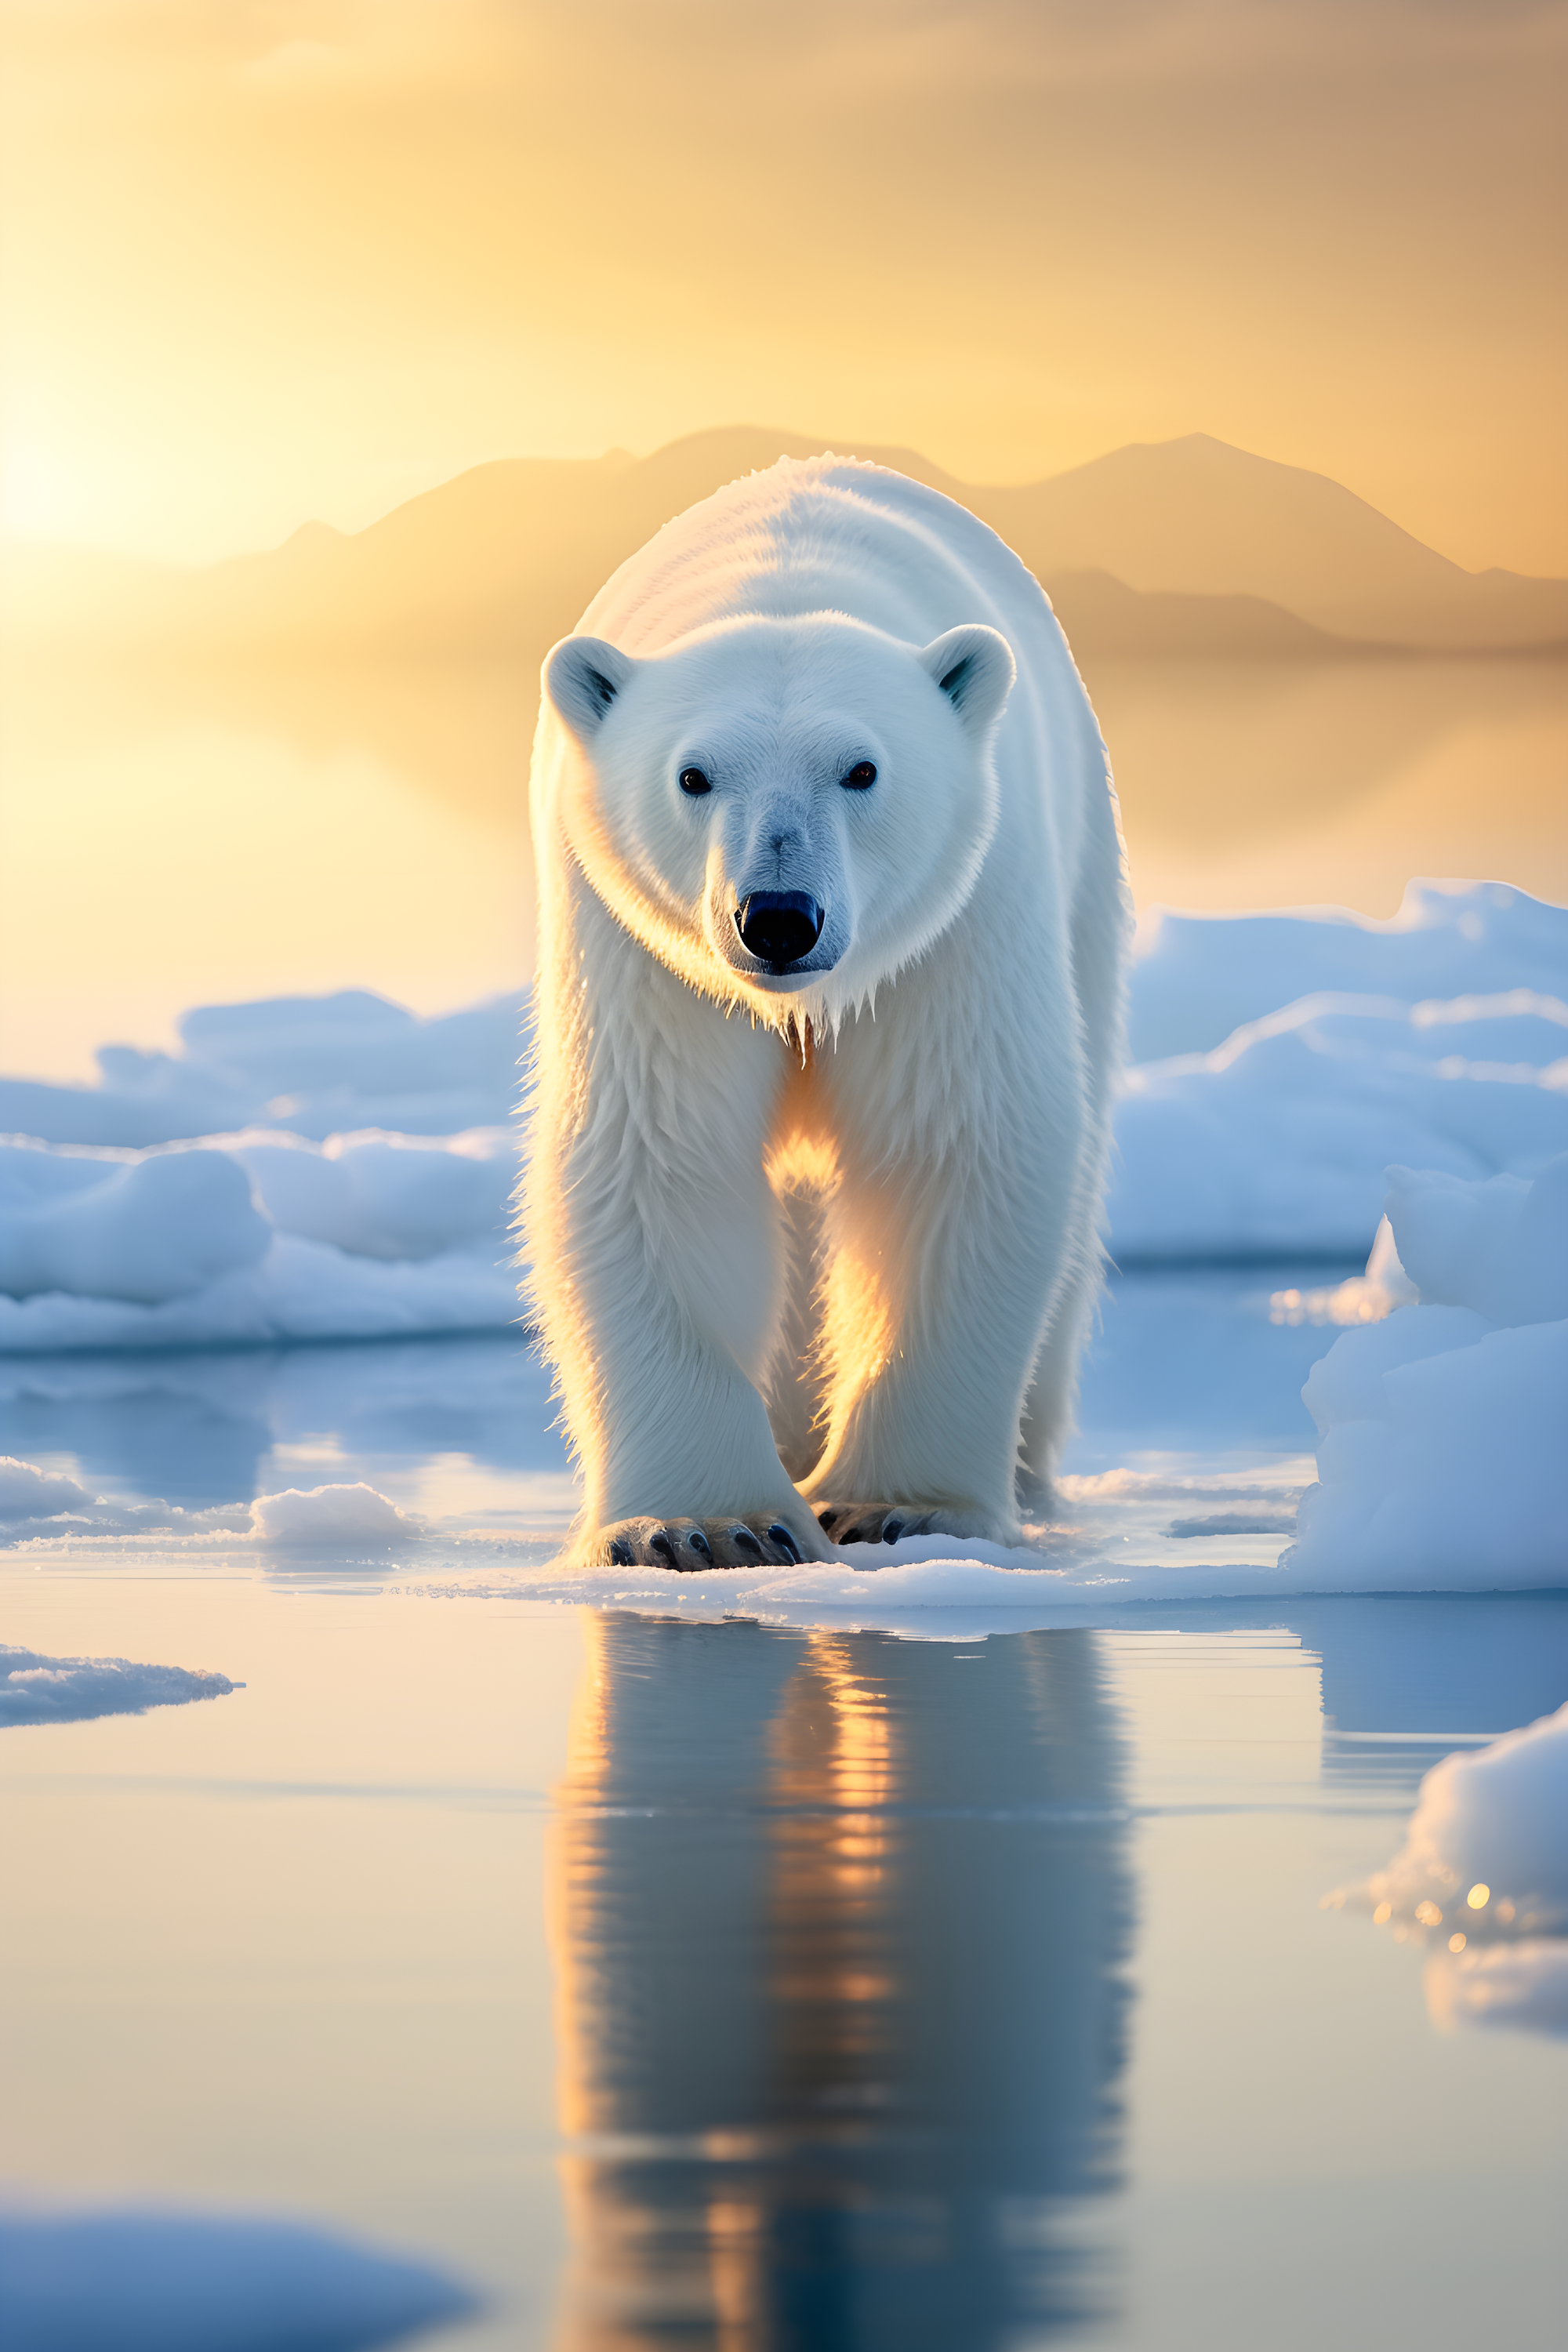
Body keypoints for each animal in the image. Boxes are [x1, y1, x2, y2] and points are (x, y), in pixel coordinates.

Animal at [523, 455, 1130, 1568]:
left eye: (861, 768)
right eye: (691, 774)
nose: (776, 918)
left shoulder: (952, 930)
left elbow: (952, 1149)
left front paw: (897, 1507)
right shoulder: (641, 953)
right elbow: (656, 1157)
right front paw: (704, 1526)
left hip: (1083, 894)